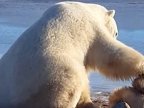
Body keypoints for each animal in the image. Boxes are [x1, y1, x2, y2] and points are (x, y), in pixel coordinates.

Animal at [0, 1, 144, 108]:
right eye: (116, 32)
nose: (115, 35)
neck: (87, 9)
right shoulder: (90, 28)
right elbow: (110, 54)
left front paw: (87, 101)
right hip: (52, 73)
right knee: (68, 86)